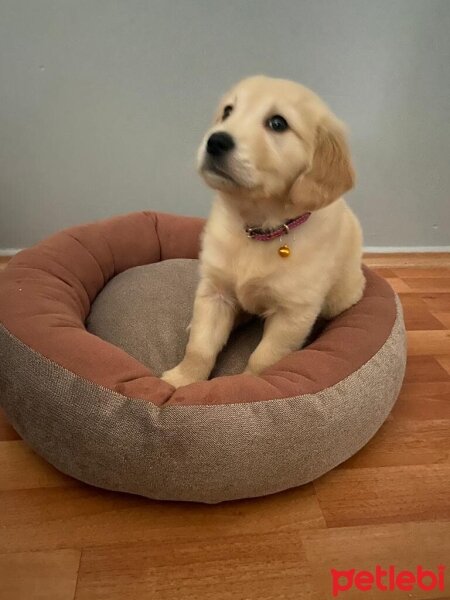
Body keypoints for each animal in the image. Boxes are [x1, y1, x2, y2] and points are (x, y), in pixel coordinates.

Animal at [162, 75, 366, 390]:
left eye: (278, 123)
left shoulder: (293, 312)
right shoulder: (214, 291)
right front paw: (181, 380)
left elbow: (264, 358)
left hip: (342, 296)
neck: (258, 228)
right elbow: (200, 346)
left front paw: (249, 386)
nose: (215, 140)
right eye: (228, 111)